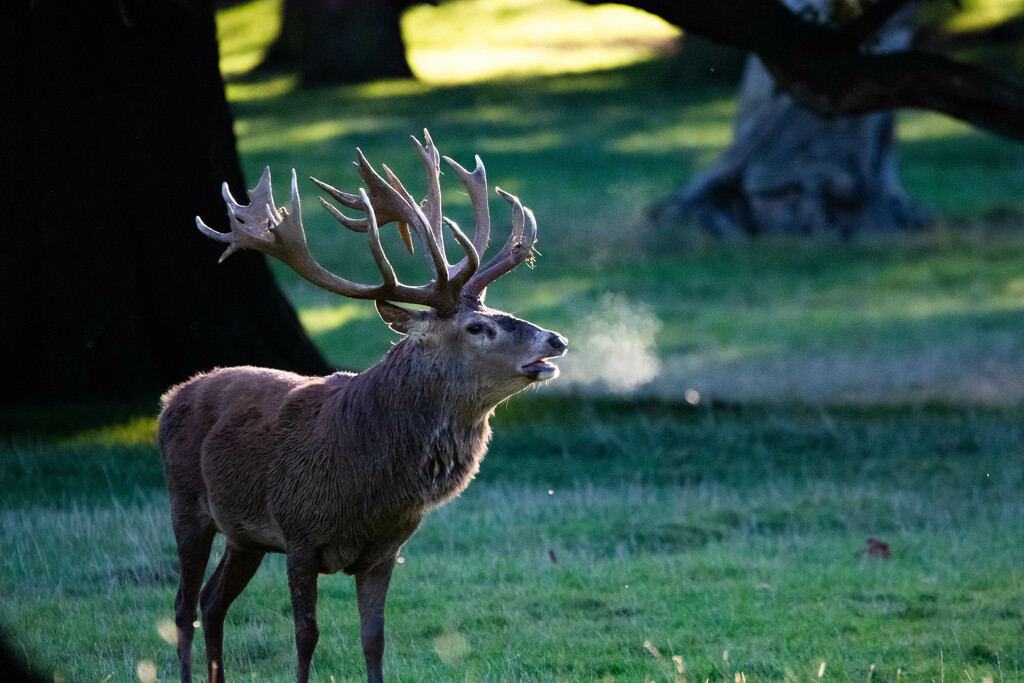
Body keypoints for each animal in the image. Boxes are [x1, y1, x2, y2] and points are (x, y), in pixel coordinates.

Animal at [157, 129, 569, 683]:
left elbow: (374, 640)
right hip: (186, 502)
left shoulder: (384, 552)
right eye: (478, 327)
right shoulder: (298, 531)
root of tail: (169, 399)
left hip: (244, 537)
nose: (555, 340)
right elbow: (306, 636)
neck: (366, 480)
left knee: (211, 601)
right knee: (183, 605)